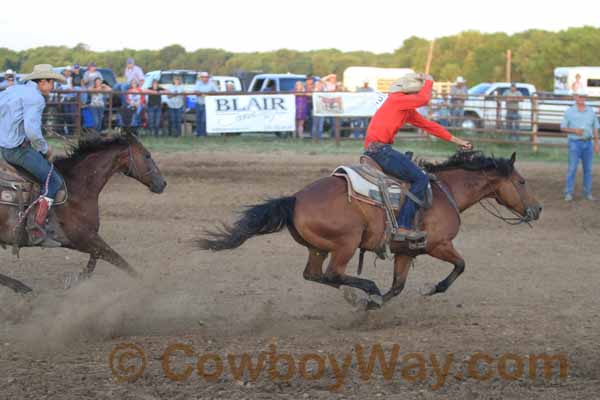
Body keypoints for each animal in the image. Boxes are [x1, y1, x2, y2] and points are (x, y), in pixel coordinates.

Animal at [198, 151, 544, 310]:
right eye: (522, 181)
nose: (538, 209)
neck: (444, 191)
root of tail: (294, 199)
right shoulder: (438, 244)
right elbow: (460, 265)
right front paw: (431, 288)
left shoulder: (406, 252)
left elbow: (399, 286)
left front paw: (375, 305)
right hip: (346, 243)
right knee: (333, 274)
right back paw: (366, 288)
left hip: (318, 247)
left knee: (314, 275)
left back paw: (362, 295)